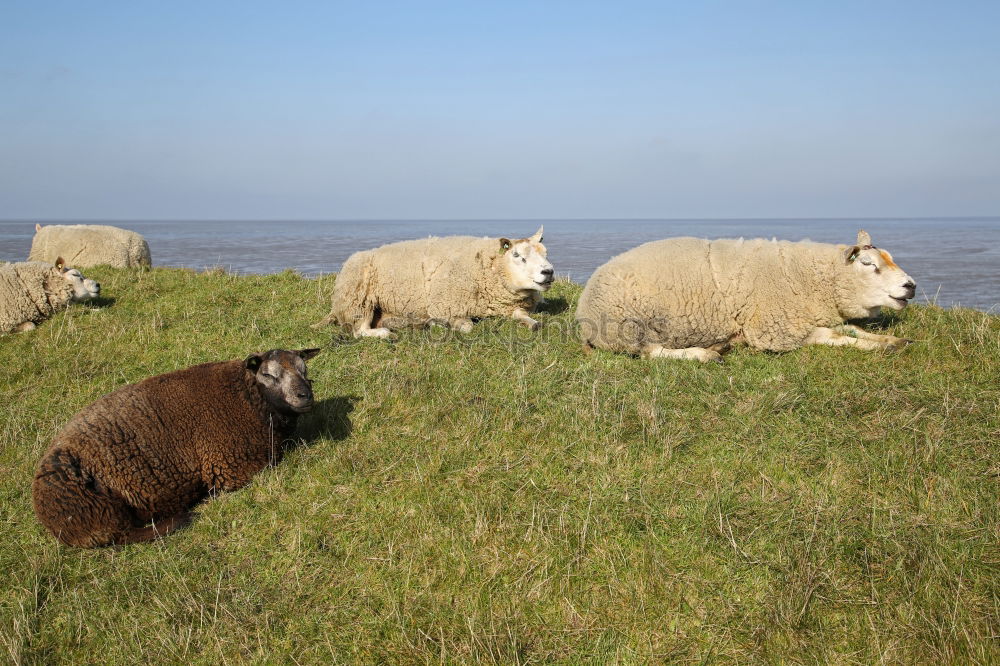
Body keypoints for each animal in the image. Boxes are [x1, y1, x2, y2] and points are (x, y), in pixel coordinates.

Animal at [32, 348, 320, 544]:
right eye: (268, 375)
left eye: (304, 370)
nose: (305, 396)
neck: (248, 397)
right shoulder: (232, 467)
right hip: (99, 513)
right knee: (123, 535)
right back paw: (179, 518)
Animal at [314, 226, 556, 338]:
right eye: (517, 255)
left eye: (545, 252)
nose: (548, 272)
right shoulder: (446, 306)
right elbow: (467, 327)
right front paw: (445, 326)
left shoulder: (509, 306)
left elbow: (523, 317)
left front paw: (533, 323)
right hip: (359, 299)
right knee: (360, 331)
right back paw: (386, 334)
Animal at [576, 230, 916, 364]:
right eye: (868, 264)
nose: (911, 286)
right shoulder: (774, 330)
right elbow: (835, 336)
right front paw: (880, 345)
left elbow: (851, 328)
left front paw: (894, 340)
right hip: (632, 326)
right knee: (651, 353)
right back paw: (706, 354)